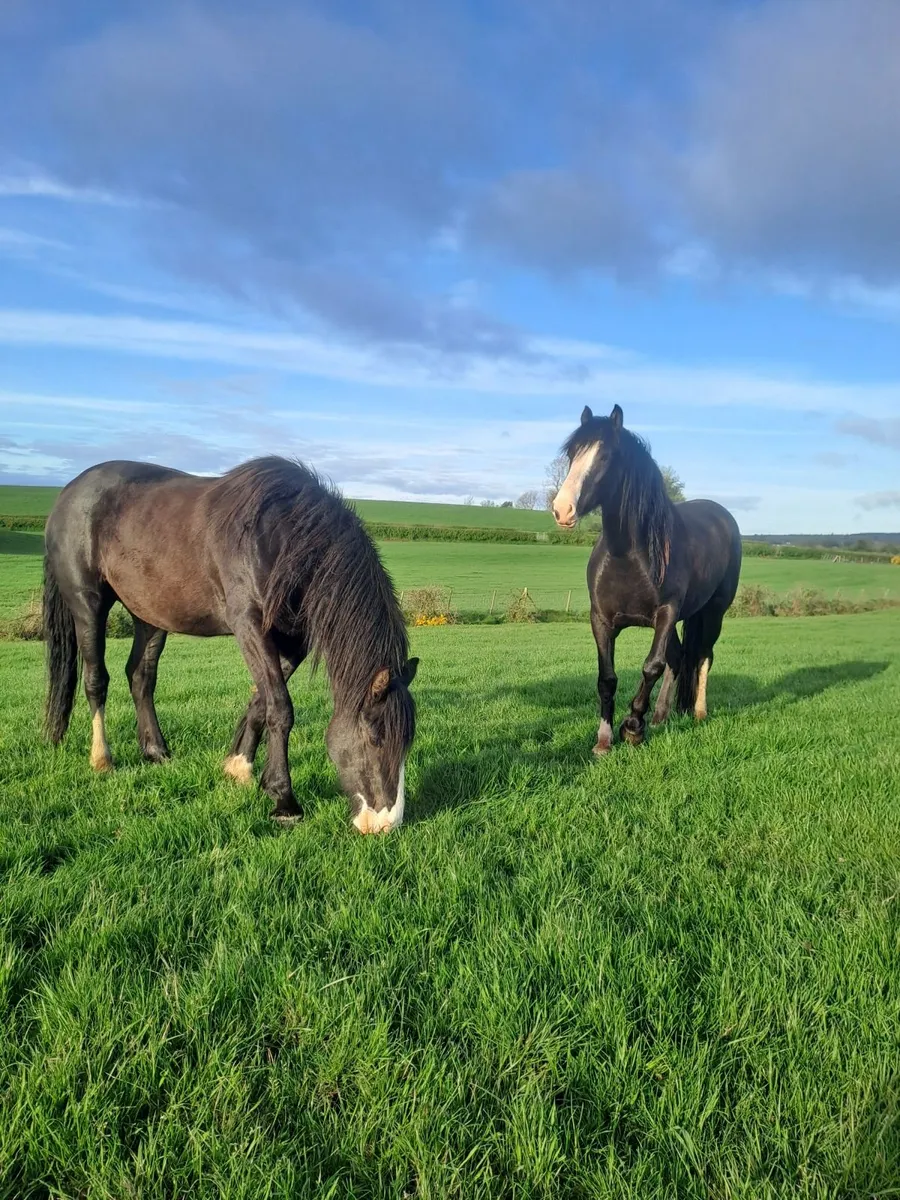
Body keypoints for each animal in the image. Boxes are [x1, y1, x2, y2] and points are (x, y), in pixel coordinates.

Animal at [42, 456, 418, 833]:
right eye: (375, 737)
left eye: (407, 740)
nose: (386, 823)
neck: (288, 537)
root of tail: (69, 492)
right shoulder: (248, 625)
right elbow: (280, 708)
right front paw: (284, 801)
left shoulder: (293, 640)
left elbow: (261, 702)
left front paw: (239, 767)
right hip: (87, 604)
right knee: (96, 679)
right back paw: (101, 759)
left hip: (148, 614)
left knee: (140, 676)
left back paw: (156, 751)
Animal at [551, 405, 741, 754]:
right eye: (572, 453)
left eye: (606, 456)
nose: (563, 510)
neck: (629, 556)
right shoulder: (601, 620)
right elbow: (607, 677)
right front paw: (604, 740)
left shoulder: (665, 614)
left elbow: (651, 666)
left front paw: (632, 727)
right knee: (679, 658)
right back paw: (661, 716)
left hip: (713, 612)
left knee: (702, 656)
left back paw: (698, 713)